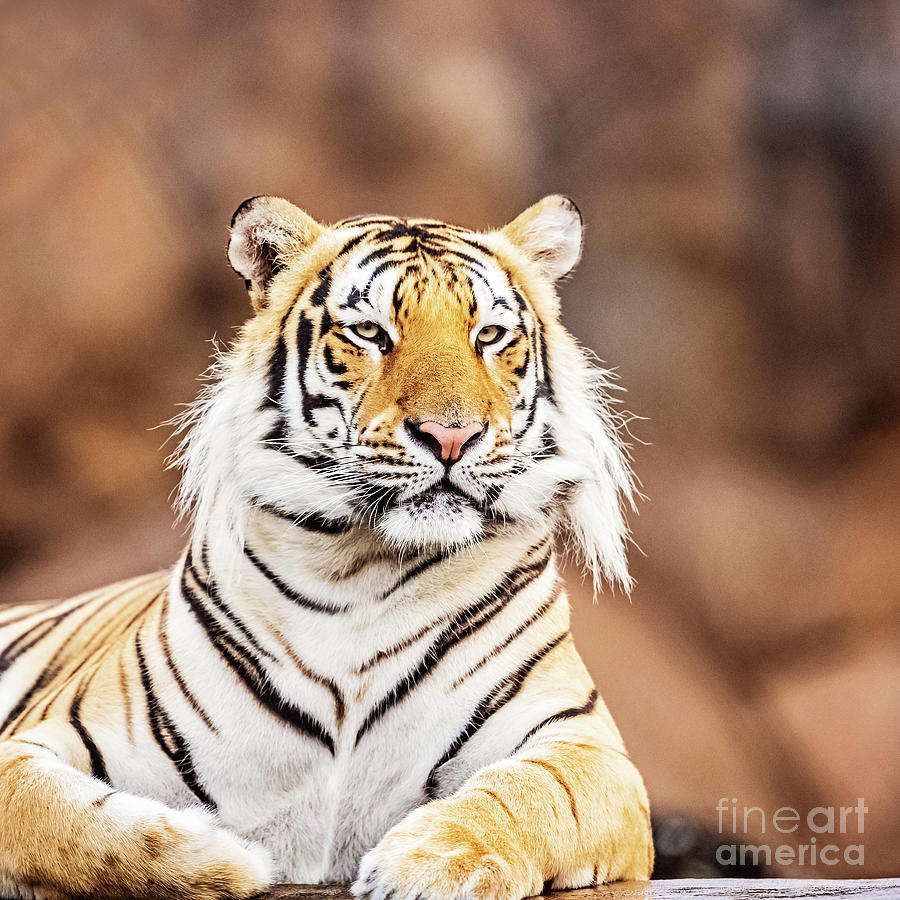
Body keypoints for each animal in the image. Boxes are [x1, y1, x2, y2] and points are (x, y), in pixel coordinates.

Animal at [0, 197, 648, 900]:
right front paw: (223, 855)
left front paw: (425, 863)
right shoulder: (38, 744)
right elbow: (61, 818)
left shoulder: (589, 750)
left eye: (490, 336)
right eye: (369, 332)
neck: (358, 571)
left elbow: (524, 799)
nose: (452, 436)